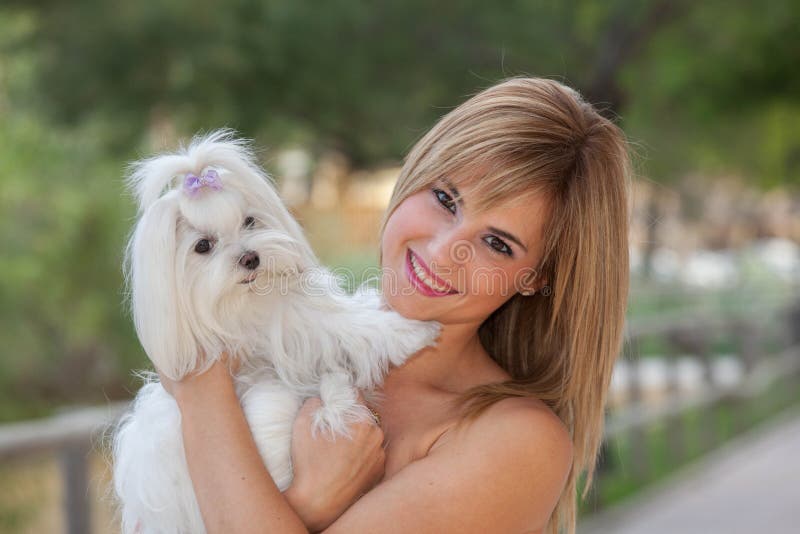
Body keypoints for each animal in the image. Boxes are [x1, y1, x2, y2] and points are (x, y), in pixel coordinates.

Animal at [111, 131, 438, 534]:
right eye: (203, 246)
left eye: (249, 221)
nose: (250, 258)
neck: (247, 302)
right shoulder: (282, 332)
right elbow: (344, 327)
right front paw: (414, 331)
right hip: (268, 409)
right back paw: (337, 394)